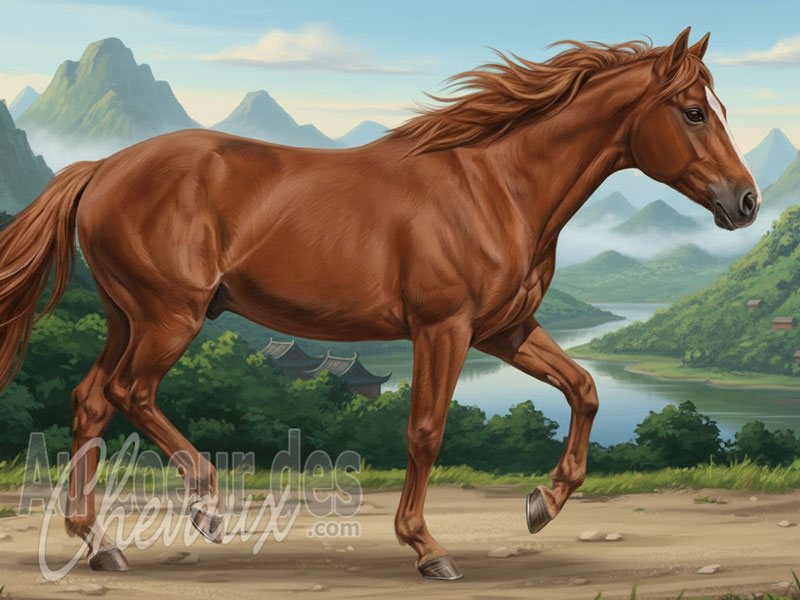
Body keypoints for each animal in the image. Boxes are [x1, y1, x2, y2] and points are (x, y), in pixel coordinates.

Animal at [0, 27, 760, 580]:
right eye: (694, 112)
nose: (746, 201)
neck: (497, 185)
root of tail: (101, 167)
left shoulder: (506, 330)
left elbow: (585, 388)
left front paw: (542, 503)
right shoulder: (443, 329)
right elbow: (425, 431)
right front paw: (428, 548)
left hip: (127, 317)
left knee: (90, 401)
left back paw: (98, 542)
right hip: (169, 317)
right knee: (131, 392)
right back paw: (207, 509)